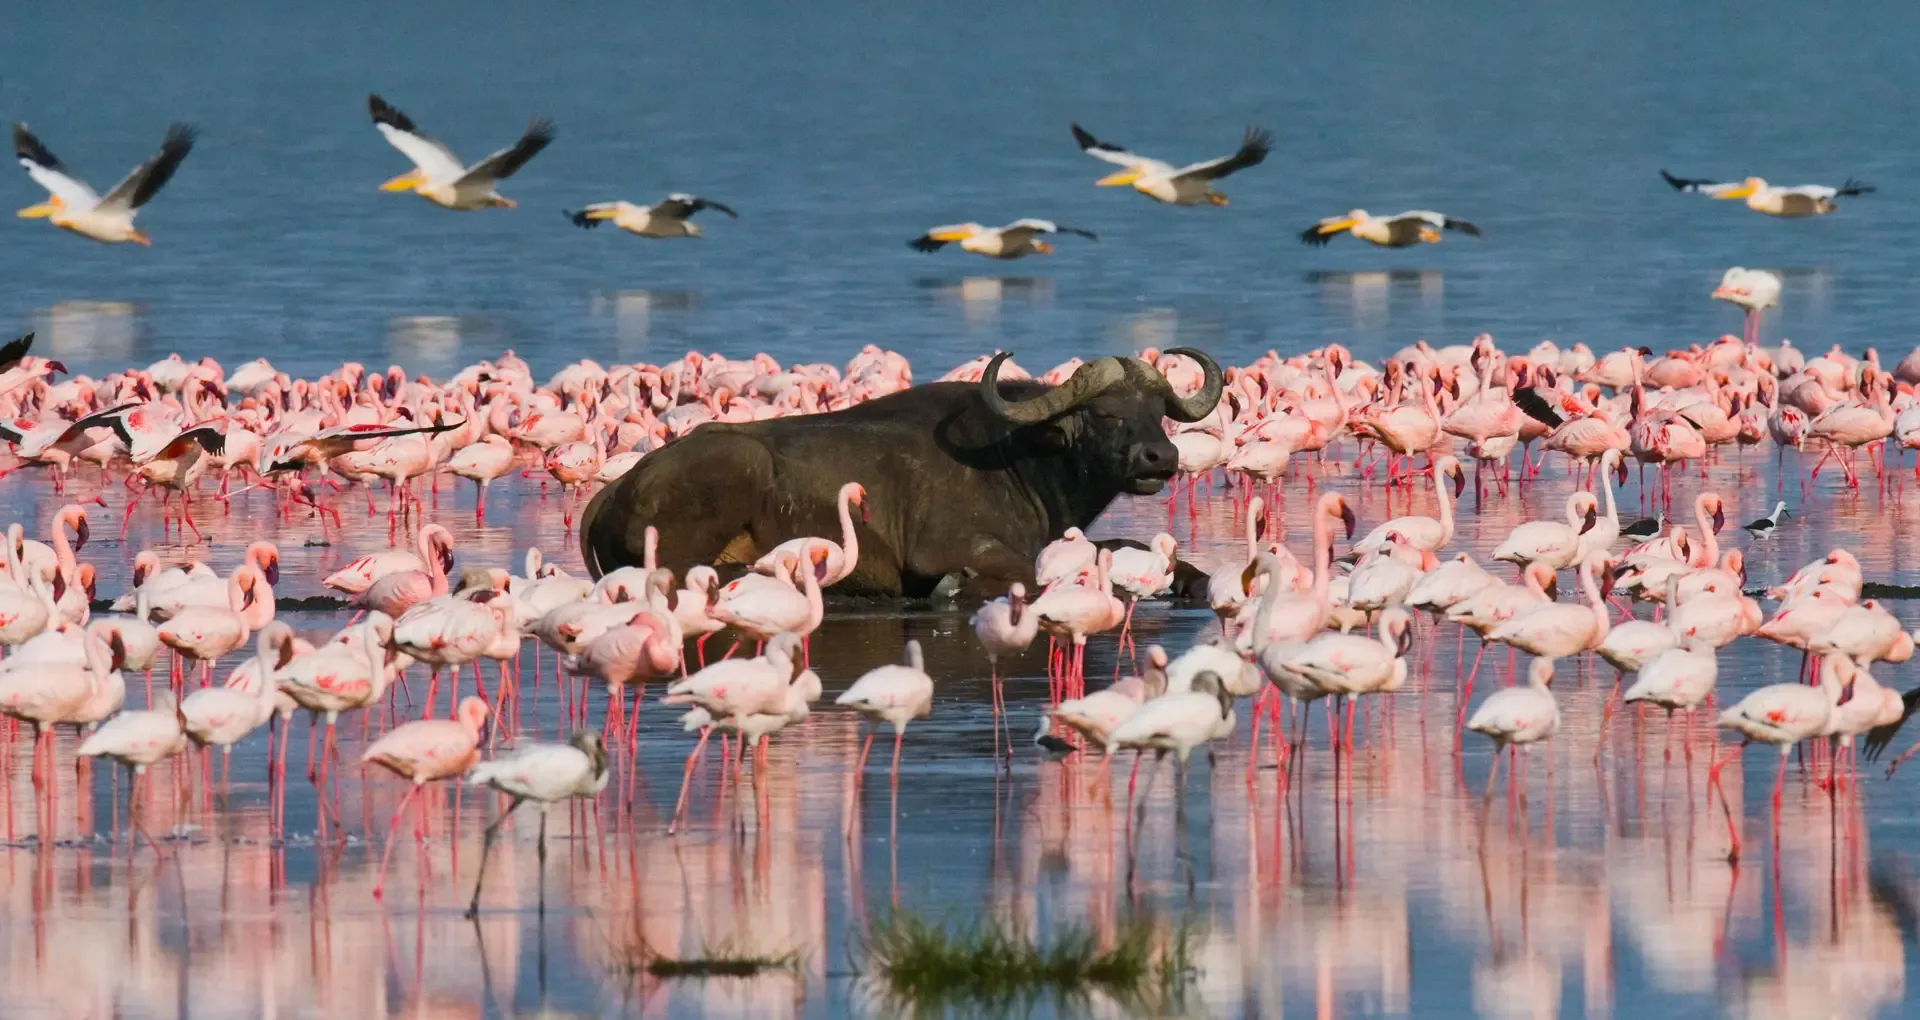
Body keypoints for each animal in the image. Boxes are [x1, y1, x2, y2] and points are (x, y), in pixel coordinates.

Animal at [579, 349, 1224, 597]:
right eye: (1105, 414)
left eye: (1157, 412)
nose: (1160, 459)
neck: (1019, 459)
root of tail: (615, 490)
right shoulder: (951, 549)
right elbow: (1034, 573)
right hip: (736, 470)